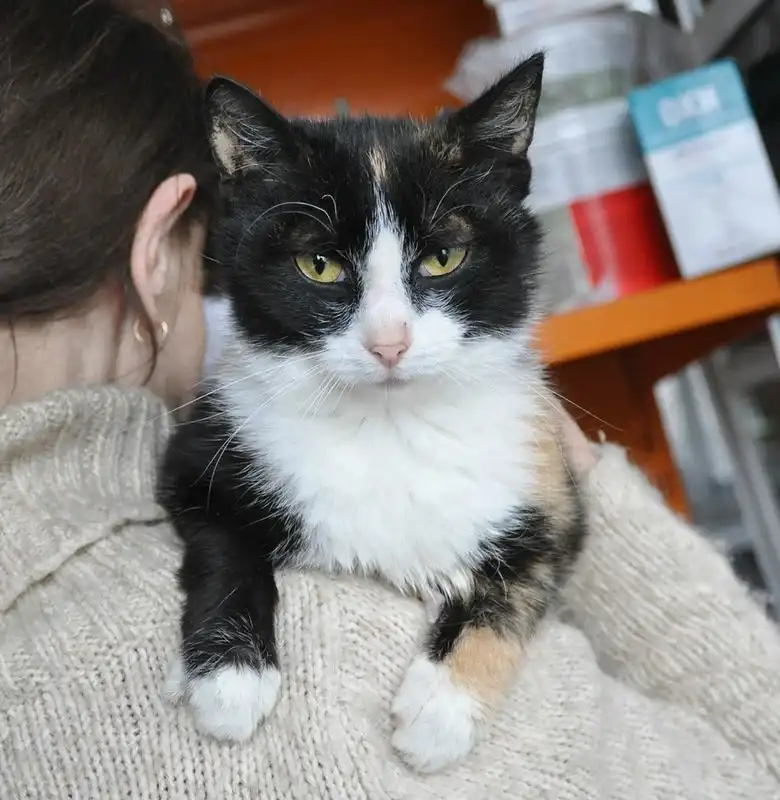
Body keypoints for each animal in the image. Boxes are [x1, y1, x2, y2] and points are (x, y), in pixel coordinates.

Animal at [159, 52, 587, 774]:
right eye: (319, 265)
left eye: (443, 257)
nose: (390, 342)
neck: (389, 426)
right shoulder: (202, 449)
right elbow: (225, 543)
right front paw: (230, 679)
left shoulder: (551, 492)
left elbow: (517, 584)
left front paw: (441, 707)